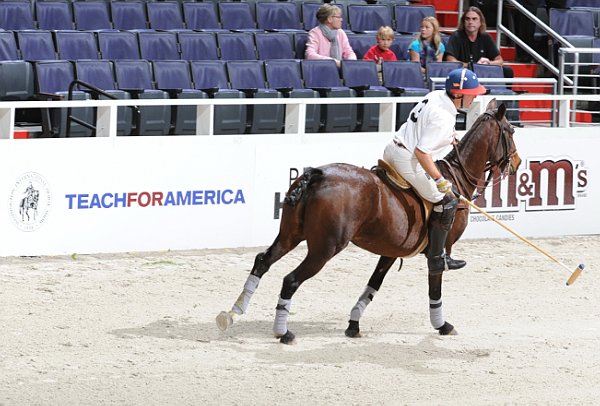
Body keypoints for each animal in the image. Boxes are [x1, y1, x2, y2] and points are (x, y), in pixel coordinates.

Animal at [216, 98, 520, 342]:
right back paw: (283, 332)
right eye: (512, 131)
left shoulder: (390, 251)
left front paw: (353, 324)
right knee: (290, 280)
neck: (456, 179)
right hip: (325, 248)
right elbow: (436, 283)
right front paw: (442, 325)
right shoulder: (439, 249)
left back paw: (232, 313)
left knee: (263, 261)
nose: (516, 163)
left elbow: (373, 285)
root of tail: (317, 175)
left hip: (291, 234)